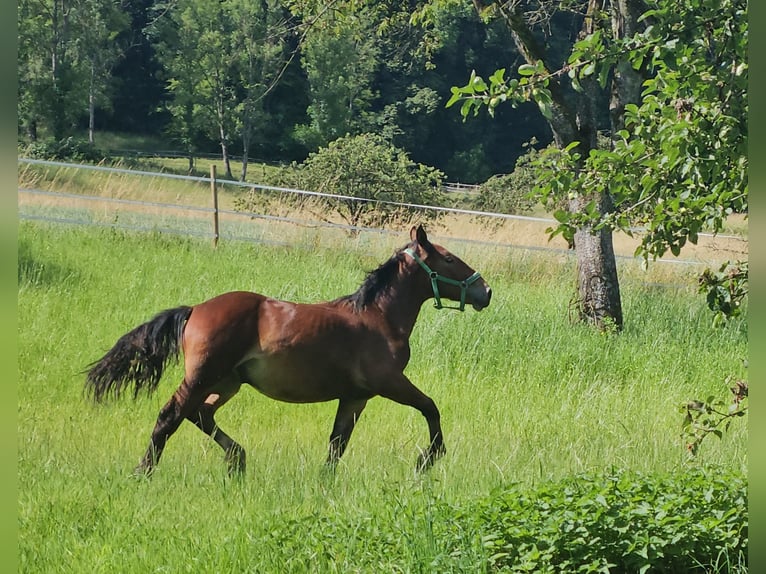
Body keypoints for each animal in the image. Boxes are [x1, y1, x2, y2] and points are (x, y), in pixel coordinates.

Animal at [84, 226, 492, 476]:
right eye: (449, 259)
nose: (485, 291)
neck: (377, 317)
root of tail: (195, 309)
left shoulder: (355, 396)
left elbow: (338, 443)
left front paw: (325, 480)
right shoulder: (389, 382)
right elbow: (430, 407)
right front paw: (428, 458)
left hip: (228, 382)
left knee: (200, 414)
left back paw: (237, 460)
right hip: (202, 376)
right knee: (171, 415)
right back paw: (144, 471)